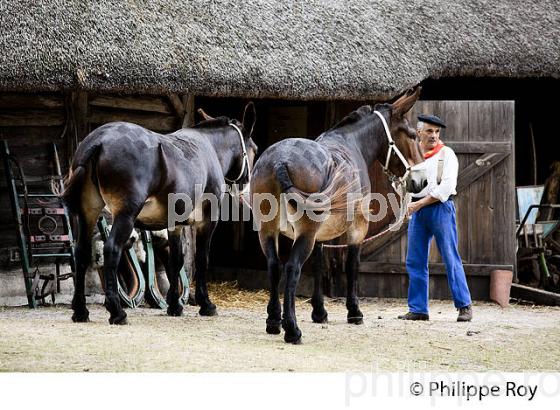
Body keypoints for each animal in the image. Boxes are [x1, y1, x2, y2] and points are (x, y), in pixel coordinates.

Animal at [61, 101, 258, 324]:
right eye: (255, 149)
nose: (246, 186)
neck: (210, 149)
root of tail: (99, 140)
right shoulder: (206, 222)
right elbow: (201, 259)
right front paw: (206, 304)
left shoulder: (175, 225)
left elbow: (176, 261)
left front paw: (174, 304)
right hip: (125, 215)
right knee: (111, 249)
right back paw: (117, 311)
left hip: (88, 213)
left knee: (81, 252)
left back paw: (80, 310)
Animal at [249, 89, 424, 342]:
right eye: (412, 135)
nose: (421, 181)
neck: (351, 144)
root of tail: (281, 160)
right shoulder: (357, 229)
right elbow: (352, 265)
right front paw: (354, 311)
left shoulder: (320, 236)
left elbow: (318, 265)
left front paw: (319, 311)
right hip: (304, 233)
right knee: (292, 268)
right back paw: (291, 329)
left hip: (267, 230)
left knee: (274, 265)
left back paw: (273, 321)